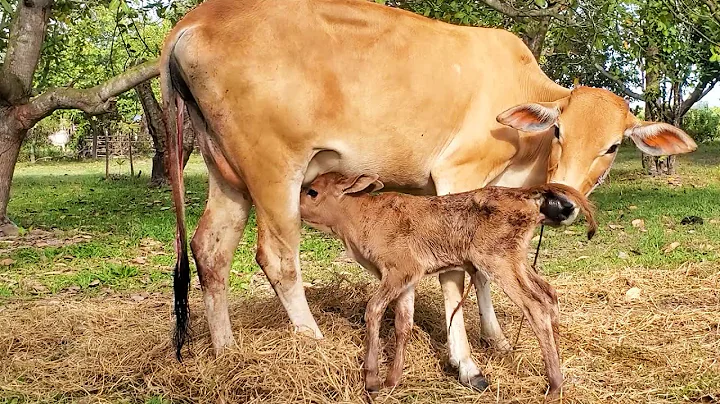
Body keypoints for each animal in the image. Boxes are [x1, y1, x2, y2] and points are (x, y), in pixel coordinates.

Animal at [160, 0, 697, 389]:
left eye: (613, 146)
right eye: (559, 130)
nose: (562, 205)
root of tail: (194, 18)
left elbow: (481, 273)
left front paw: (496, 339)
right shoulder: (457, 176)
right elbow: (458, 275)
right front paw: (467, 364)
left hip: (226, 173)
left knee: (211, 250)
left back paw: (226, 351)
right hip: (275, 170)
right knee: (277, 256)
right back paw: (312, 340)